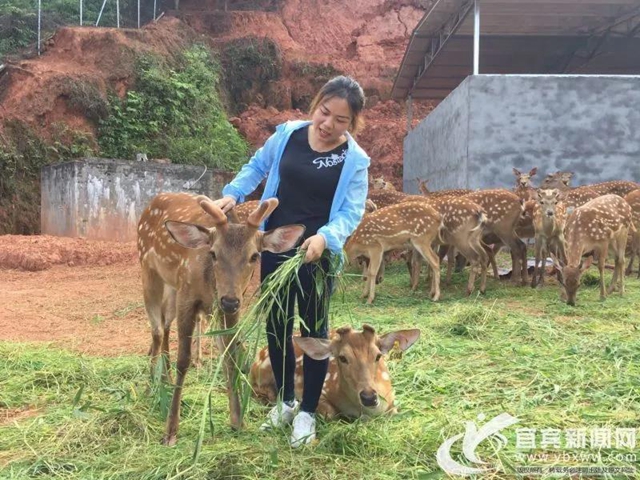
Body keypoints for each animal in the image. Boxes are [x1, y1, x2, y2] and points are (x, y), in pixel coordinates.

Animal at [137, 192, 304, 446]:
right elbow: (183, 360)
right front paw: (170, 431)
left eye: (254, 256)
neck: (209, 284)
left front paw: (237, 421)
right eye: (213, 253)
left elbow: (230, 357)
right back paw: (149, 387)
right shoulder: (187, 296)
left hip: (173, 286)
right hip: (149, 271)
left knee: (165, 325)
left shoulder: (227, 310)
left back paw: (164, 377)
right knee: (156, 330)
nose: (229, 300)